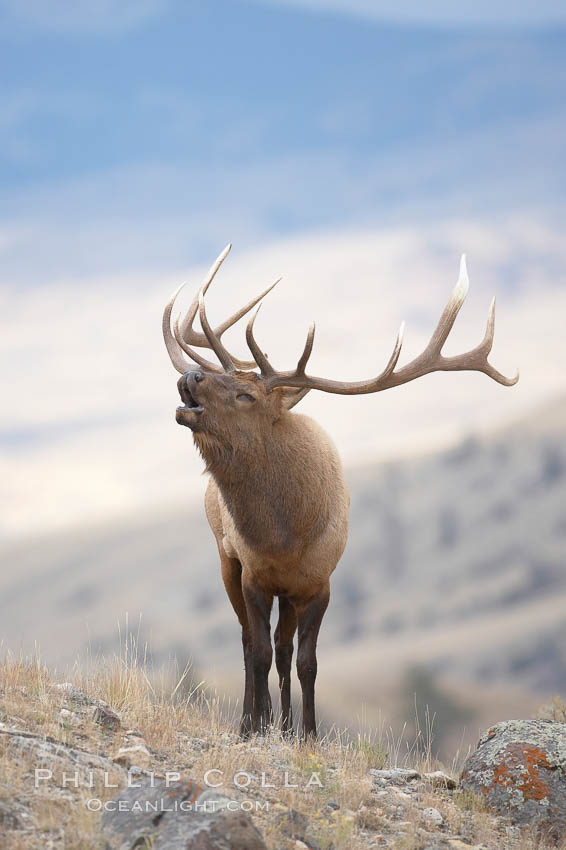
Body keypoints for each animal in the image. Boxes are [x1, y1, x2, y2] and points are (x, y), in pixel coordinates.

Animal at [162, 245, 520, 736]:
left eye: (246, 396)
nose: (192, 376)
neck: (285, 536)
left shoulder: (319, 581)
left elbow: (306, 662)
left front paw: (308, 734)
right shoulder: (253, 572)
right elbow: (256, 650)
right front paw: (256, 727)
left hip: (287, 590)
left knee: (283, 648)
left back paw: (286, 724)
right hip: (224, 556)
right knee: (250, 641)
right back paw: (255, 720)